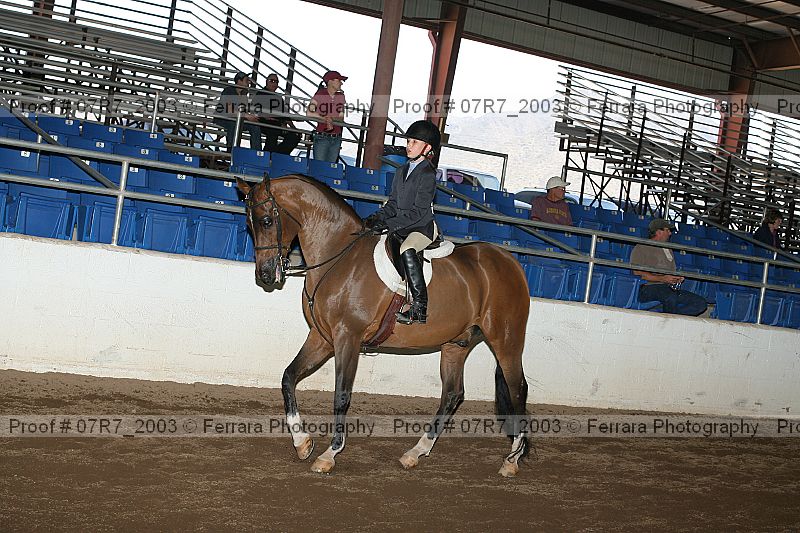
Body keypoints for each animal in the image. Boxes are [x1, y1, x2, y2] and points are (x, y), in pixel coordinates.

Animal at [237, 174, 531, 477]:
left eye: (266, 221)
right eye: (249, 224)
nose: (265, 274)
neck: (338, 257)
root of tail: (510, 261)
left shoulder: (348, 337)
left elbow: (341, 395)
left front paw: (329, 454)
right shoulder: (322, 338)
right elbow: (288, 377)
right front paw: (302, 443)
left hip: (506, 339)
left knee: (517, 388)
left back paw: (511, 460)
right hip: (456, 344)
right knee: (452, 394)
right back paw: (415, 452)